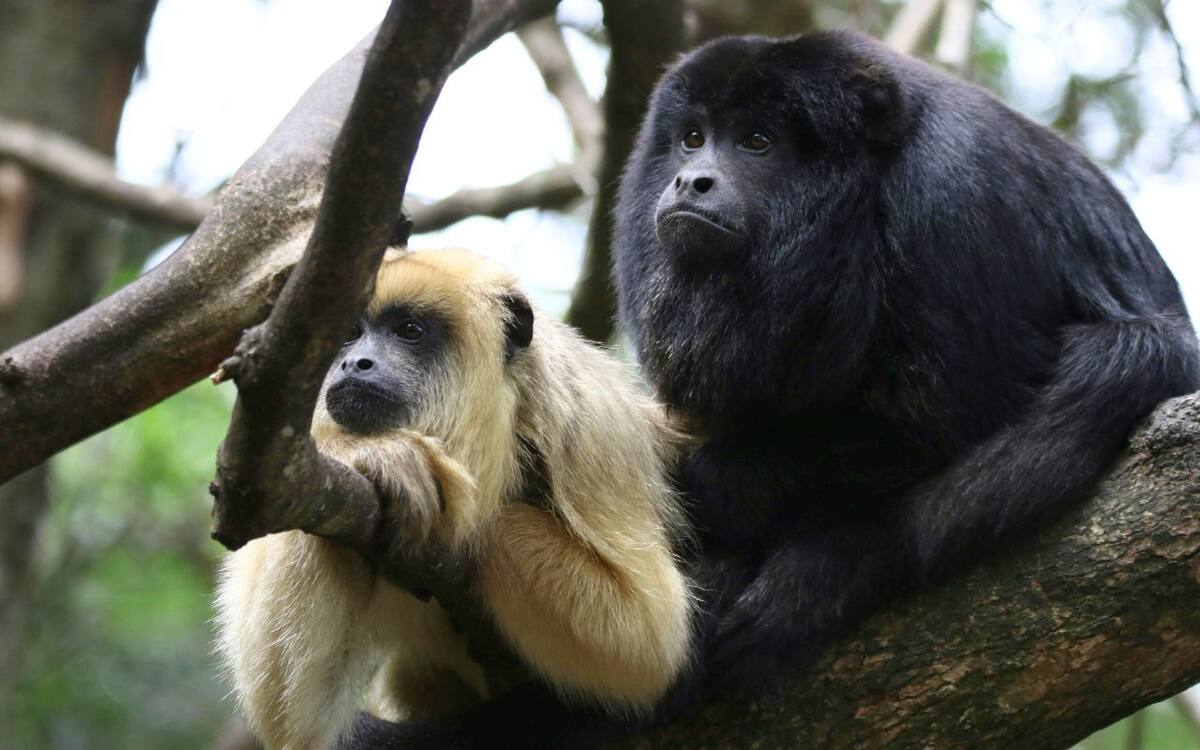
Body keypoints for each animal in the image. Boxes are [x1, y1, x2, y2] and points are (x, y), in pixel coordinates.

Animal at [214, 248, 694, 750]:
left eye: (408, 331)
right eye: (351, 334)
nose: (354, 363)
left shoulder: (592, 430)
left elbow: (645, 646)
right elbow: (291, 713)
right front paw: (370, 453)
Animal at [611, 29, 1200, 681]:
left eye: (756, 142)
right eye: (692, 138)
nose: (691, 180)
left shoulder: (948, 199)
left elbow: (948, 421)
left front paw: (711, 483)